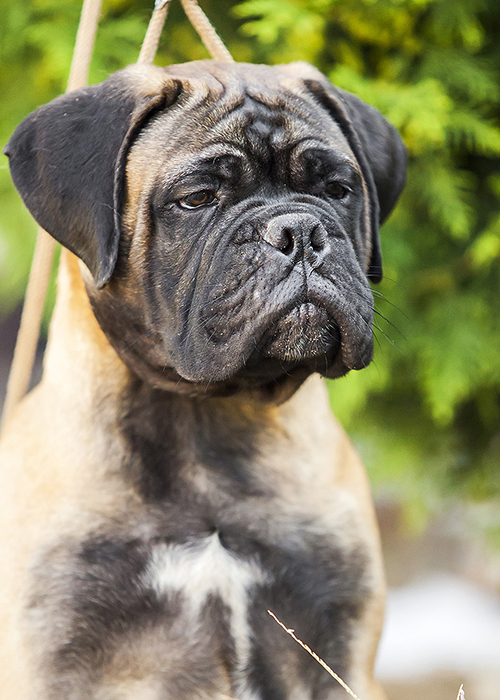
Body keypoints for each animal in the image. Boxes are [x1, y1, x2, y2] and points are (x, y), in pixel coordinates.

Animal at [0, 61, 406, 700]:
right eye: (197, 199)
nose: (299, 232)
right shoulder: (49, 661)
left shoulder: (340, 653)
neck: (201, 416)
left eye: (337, 190)